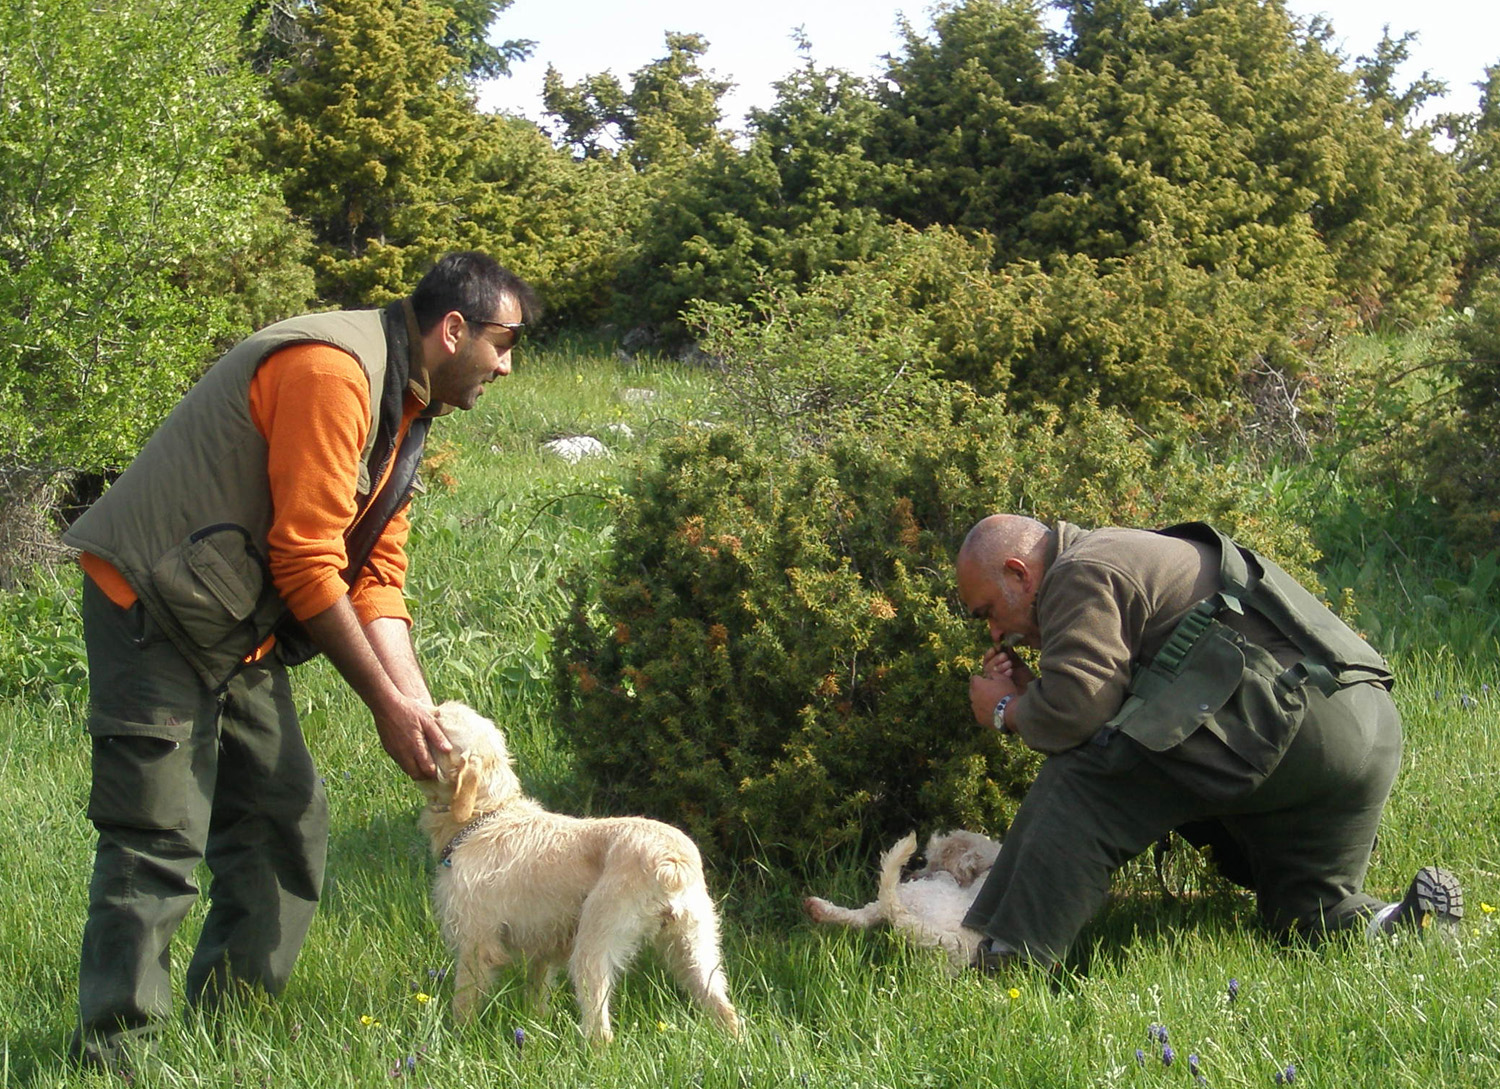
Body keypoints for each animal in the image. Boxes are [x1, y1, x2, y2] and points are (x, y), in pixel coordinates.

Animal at [414, 705, 741, 1044]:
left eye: (437, 720)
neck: (485, 816)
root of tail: (670, 859)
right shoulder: (543, 946)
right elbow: (537, 991)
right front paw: (535, 1023)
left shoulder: (476, 942)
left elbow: (463, 1001)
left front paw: (457, 1037)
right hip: (695, 948)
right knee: (727, 1011)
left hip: (593, 946)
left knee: (600, 1029)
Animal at [804, 834, 1002, 978]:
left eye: (931, 862)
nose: (912, 874)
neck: (989, 866)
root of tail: (951, 941)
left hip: (909, 893)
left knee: (864, 916)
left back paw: (817, 908)